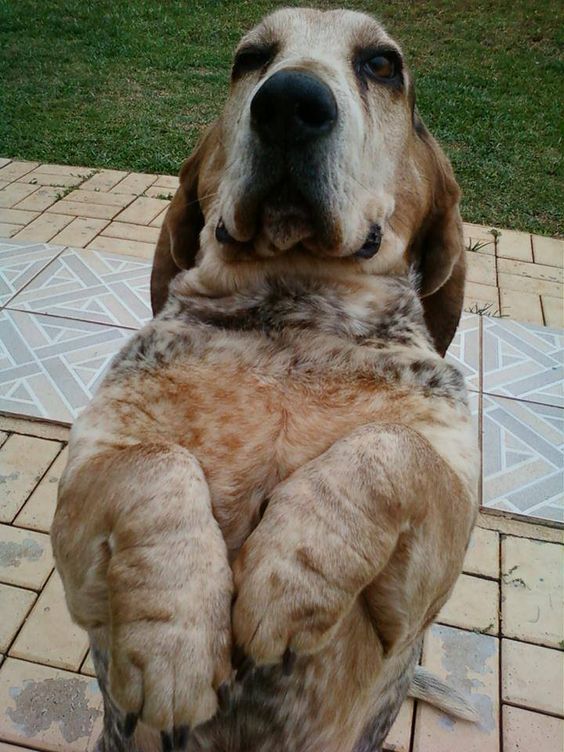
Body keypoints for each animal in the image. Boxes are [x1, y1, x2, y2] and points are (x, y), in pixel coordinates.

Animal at [51, 7, 476, 752]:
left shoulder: (434, 562)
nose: (290, 103)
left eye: (382, 65)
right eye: (249, 58)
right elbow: (153, 464)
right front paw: (177, 641)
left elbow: (390, 450)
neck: (290, 308)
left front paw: (290, 573)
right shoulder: (84, 491)